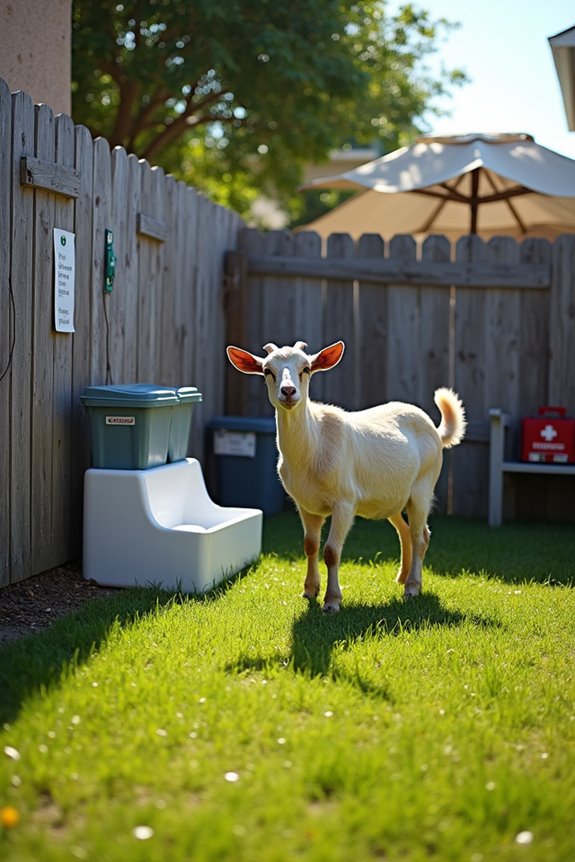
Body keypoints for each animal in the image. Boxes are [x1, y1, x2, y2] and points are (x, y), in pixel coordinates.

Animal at [227, 340, 466, 613]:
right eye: (267, 370)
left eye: (306, 368)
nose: (288, 391)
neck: (313, 445)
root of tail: (436, 430)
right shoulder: (304, 504)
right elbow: (310, 545)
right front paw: (309, 591)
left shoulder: (345, 501)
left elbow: (331, 551)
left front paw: (332, 601)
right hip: (393, 496)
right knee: (406, 532)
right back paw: (402, 578)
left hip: (423, 486)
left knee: (420, 535)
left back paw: (413, 587)